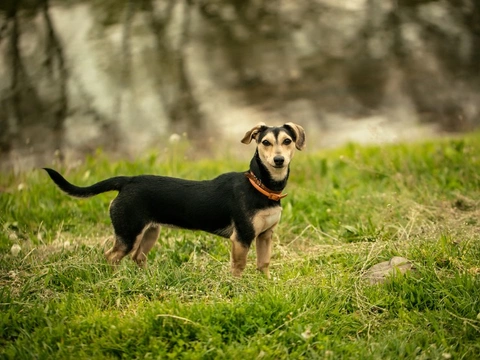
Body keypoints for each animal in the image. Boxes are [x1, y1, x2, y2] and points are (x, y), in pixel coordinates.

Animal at [43, 122, 306, 278]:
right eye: (265, 143)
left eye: (287, 141)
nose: (279, 160)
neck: (262, 186)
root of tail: (128, 181)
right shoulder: (241, 238)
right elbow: (238, 268)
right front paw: (239, 289)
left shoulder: (265, 236)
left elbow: (264, 265)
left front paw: (265, 285)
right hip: (128, 234)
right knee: (111, 257)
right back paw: (115, 280)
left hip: (150, 232)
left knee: (138, 257)